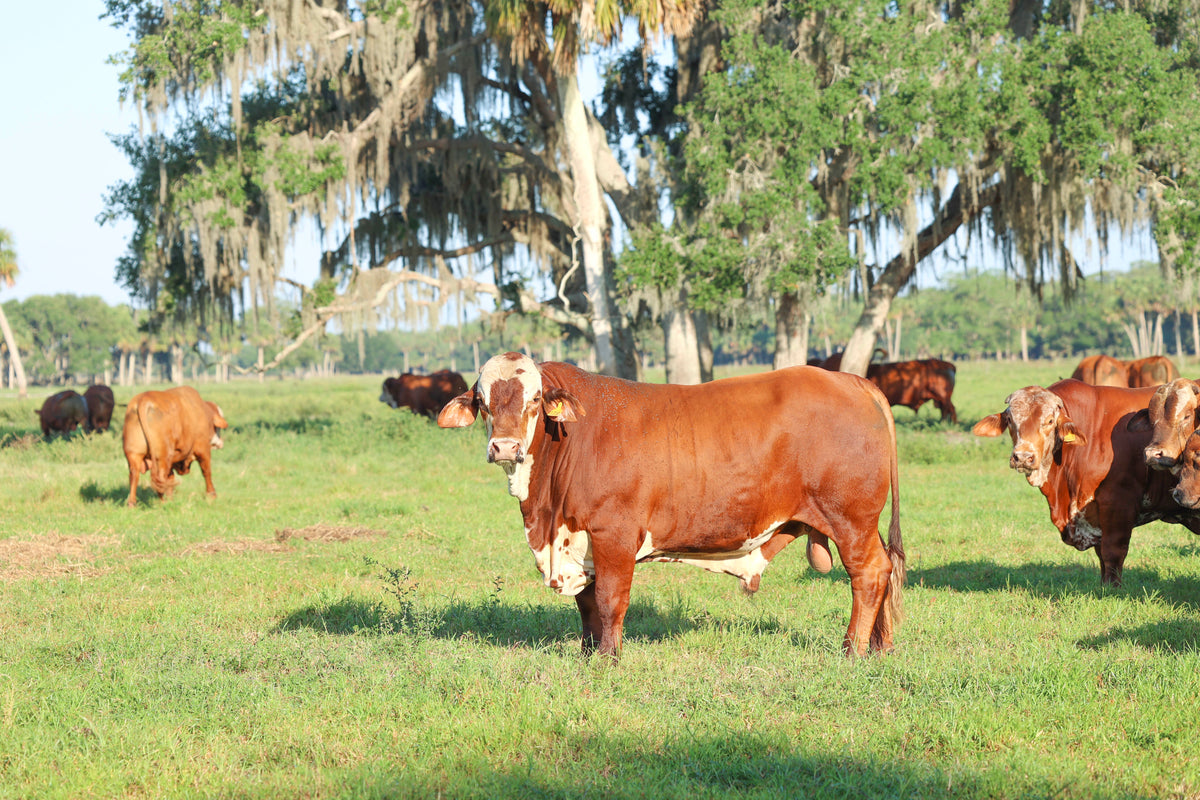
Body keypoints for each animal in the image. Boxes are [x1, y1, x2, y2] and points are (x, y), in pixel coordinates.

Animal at [438, 352, 905, 659]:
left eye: (534, 400)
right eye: (482, 401)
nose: (505, 447)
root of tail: (850, 380)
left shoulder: (614, 533)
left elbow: (609, 599)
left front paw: (608, 659)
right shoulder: (580, 540)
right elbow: (586, 604)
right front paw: (588, 654)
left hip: (851, 519)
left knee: (869, 574)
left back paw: (852, 650)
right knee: (883, 570)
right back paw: (880, 647)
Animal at [973, 379, 1200, 585]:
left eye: (1049, 421)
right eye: (1010, 420)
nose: (1023, 457)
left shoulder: (1118, 505)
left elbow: (1112, 552)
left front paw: (1112, 589)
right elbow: (1102, 556)